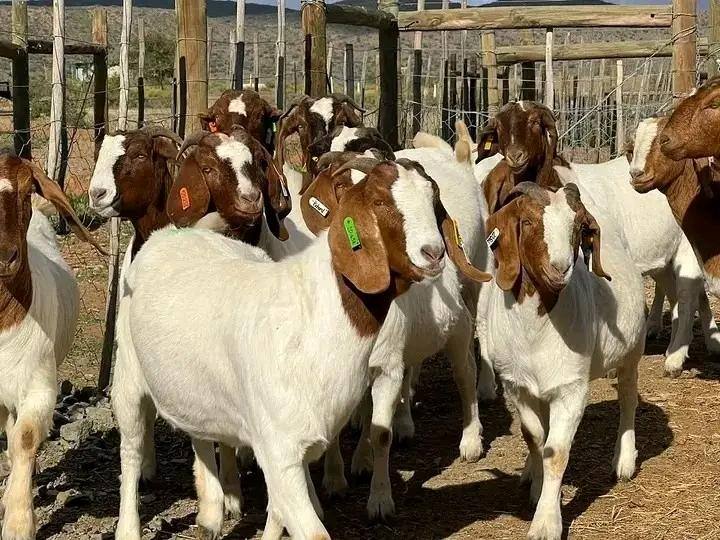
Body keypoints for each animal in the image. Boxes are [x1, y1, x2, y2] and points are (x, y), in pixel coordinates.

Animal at [111, 158, 491, 540]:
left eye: (433, 201)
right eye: (381, 202)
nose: (434, 253)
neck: (312, 322)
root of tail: (166, 236)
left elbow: (279, 512)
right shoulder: (280, 451)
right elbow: (312, 530)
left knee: (201, 435)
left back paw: (210, 512)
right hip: (127, 377)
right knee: (130, 452)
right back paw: (131, 527)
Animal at [476, 101, 719, 379]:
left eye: (535, 123)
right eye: (500, 127)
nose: (515, 156)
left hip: (687, 247)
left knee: (688, 295)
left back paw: (676, 358)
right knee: (680, 291)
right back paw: (701, 340)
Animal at [482, 181, 645, 540]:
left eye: (579, 228)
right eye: (527, 222)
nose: (559, 268)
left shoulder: (571, 389)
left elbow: (555, 452)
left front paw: (546, 522)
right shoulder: (516, 384)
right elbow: (534, 436)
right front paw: (538, 486)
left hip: (632, 350)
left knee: (628, 399)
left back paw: (624, 461)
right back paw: (530, 473)